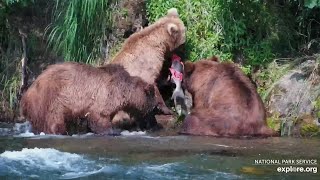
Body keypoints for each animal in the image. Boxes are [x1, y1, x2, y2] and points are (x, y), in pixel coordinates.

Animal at [19, 62, 157, 134]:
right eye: (154, 109)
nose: (154, 124)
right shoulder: (105, 96)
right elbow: (99, 116)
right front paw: (111, 131)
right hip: (52, 99)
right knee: (54, 119)